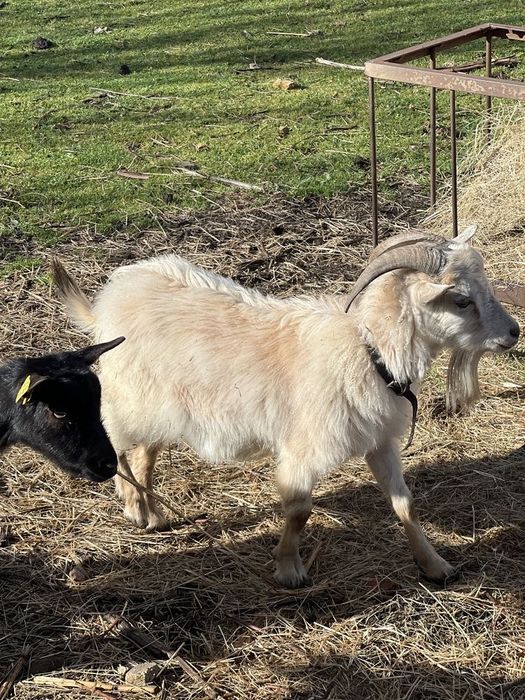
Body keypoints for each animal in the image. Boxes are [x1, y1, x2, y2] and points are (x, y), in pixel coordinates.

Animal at [52, 226, 520, 587]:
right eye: (461, 300)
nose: (514, 332)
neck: (367, 350)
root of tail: (107, 301)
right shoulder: (302, 448)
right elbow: (299, 511)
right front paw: (289, 569)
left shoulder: (379, 441)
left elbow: (405, 505)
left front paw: (435, 565)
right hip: (132, 396)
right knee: (120, 446)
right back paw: (133, 506)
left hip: (167, 406)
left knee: (144, 454)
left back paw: (155, 516)